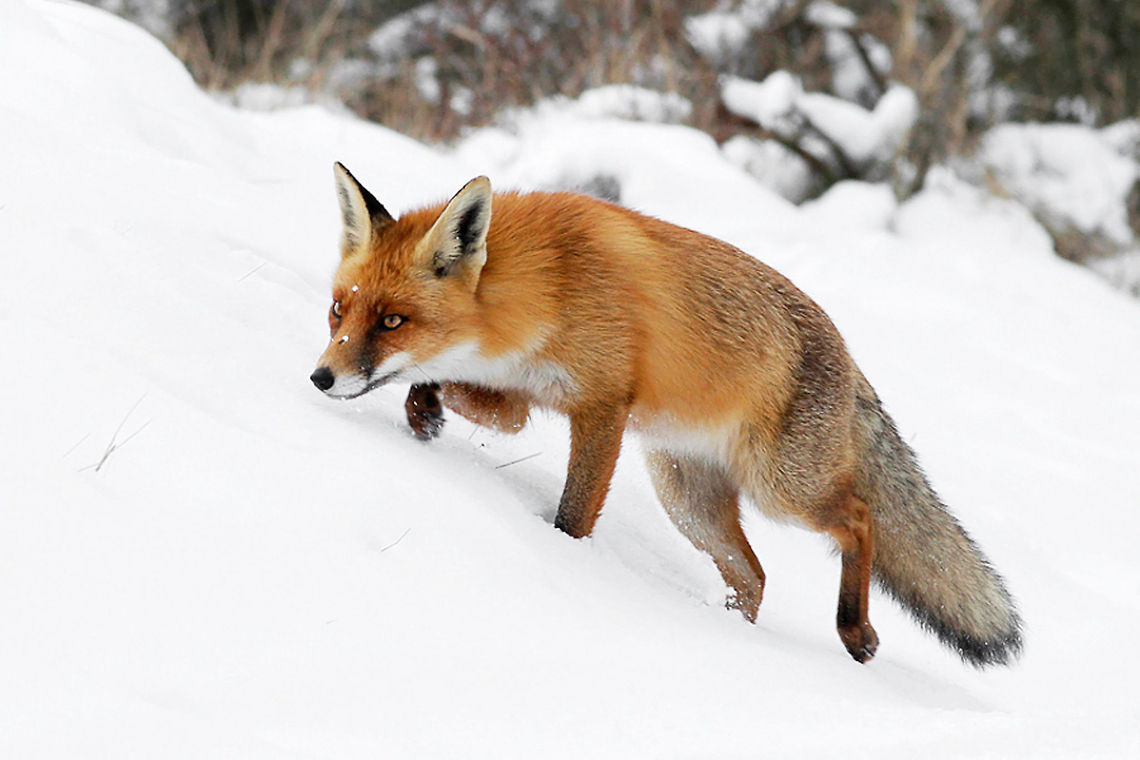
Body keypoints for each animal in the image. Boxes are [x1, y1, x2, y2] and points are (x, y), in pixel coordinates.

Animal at [310, 162, 1023, 666]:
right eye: (339, 310)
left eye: (393, 321)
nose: (321, 377)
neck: (548, 284)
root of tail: (849, 360)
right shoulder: (522, 397)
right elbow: (445, 390)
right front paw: (423, 412)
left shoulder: (602, 408)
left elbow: (574, 514)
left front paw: (565, 561)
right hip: (687, 500)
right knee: (755, 578)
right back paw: (728, 634)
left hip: (782, 489)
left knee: (858, 518)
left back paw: (856, 629)